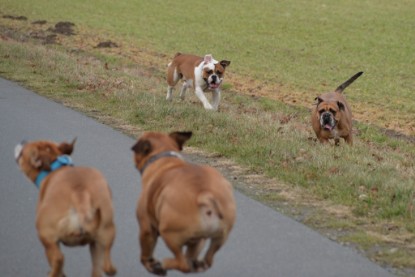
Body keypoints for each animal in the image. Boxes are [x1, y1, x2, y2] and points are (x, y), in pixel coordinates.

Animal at [14, 140, 116, 276]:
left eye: (22, 152)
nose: (22, 141)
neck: (54, 168)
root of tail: (79, 193)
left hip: (46, 236)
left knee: (58, 258)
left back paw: (54, 273)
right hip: (105, 235)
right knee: (105, 267)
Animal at [132, 131, 236, 274]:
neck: (164, 157)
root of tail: (205, 194)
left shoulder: (146, 227)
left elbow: (146, 253)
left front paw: (150, 264)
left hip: (169, 234)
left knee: (182, 263)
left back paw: (164, 264)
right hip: (216, 238)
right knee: (205, 260)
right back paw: (197, 264)